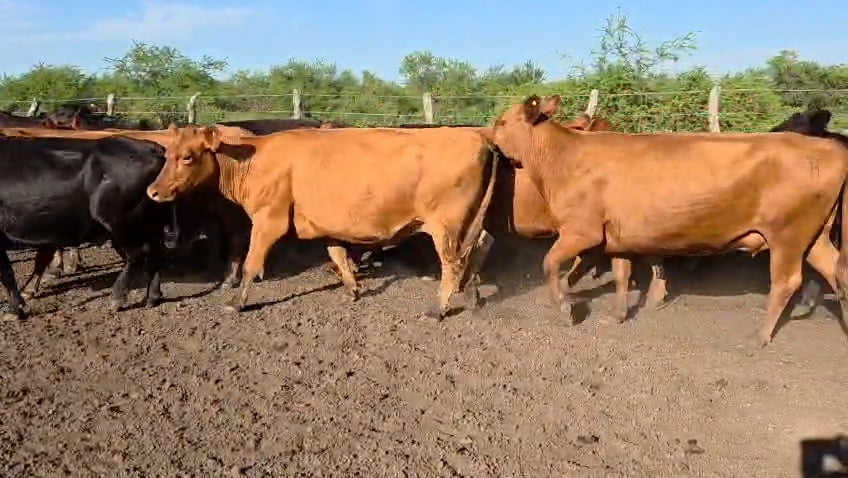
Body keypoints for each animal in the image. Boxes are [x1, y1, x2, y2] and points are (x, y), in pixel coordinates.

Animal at [0, 135, 175, 320]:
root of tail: (151, 147)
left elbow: (7, 273)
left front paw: (15, 309)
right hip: (147, 223)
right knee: (154, 253)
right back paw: (153, 297)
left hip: (118, 221)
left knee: (137, 255)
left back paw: (117, 298)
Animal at [145, 124, 499, 318]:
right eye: (167, 154)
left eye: (187, 156)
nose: (153, 191)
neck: (254, 158)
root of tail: (480, 138)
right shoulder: (329, 224)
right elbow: (338, 255)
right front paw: (352, 289)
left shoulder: (268, 219)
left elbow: (250, 263)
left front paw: (236, 302)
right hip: (471, 221)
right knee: (482, 244)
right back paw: (473, 295)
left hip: (447, 226)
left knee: (453, 262)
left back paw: (439, 308)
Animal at [480, 94, 848, 346]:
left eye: (501, 122)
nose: (486, 136)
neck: (564, 158)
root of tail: (827, 149)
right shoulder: (616, 236)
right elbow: (622, 273)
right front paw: (618, 315)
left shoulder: (580, 232)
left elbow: (550, 263)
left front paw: (565, 309)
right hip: (815, 237)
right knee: (837, 272)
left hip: (788, 235)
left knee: (787, 282)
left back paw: (759, 335)